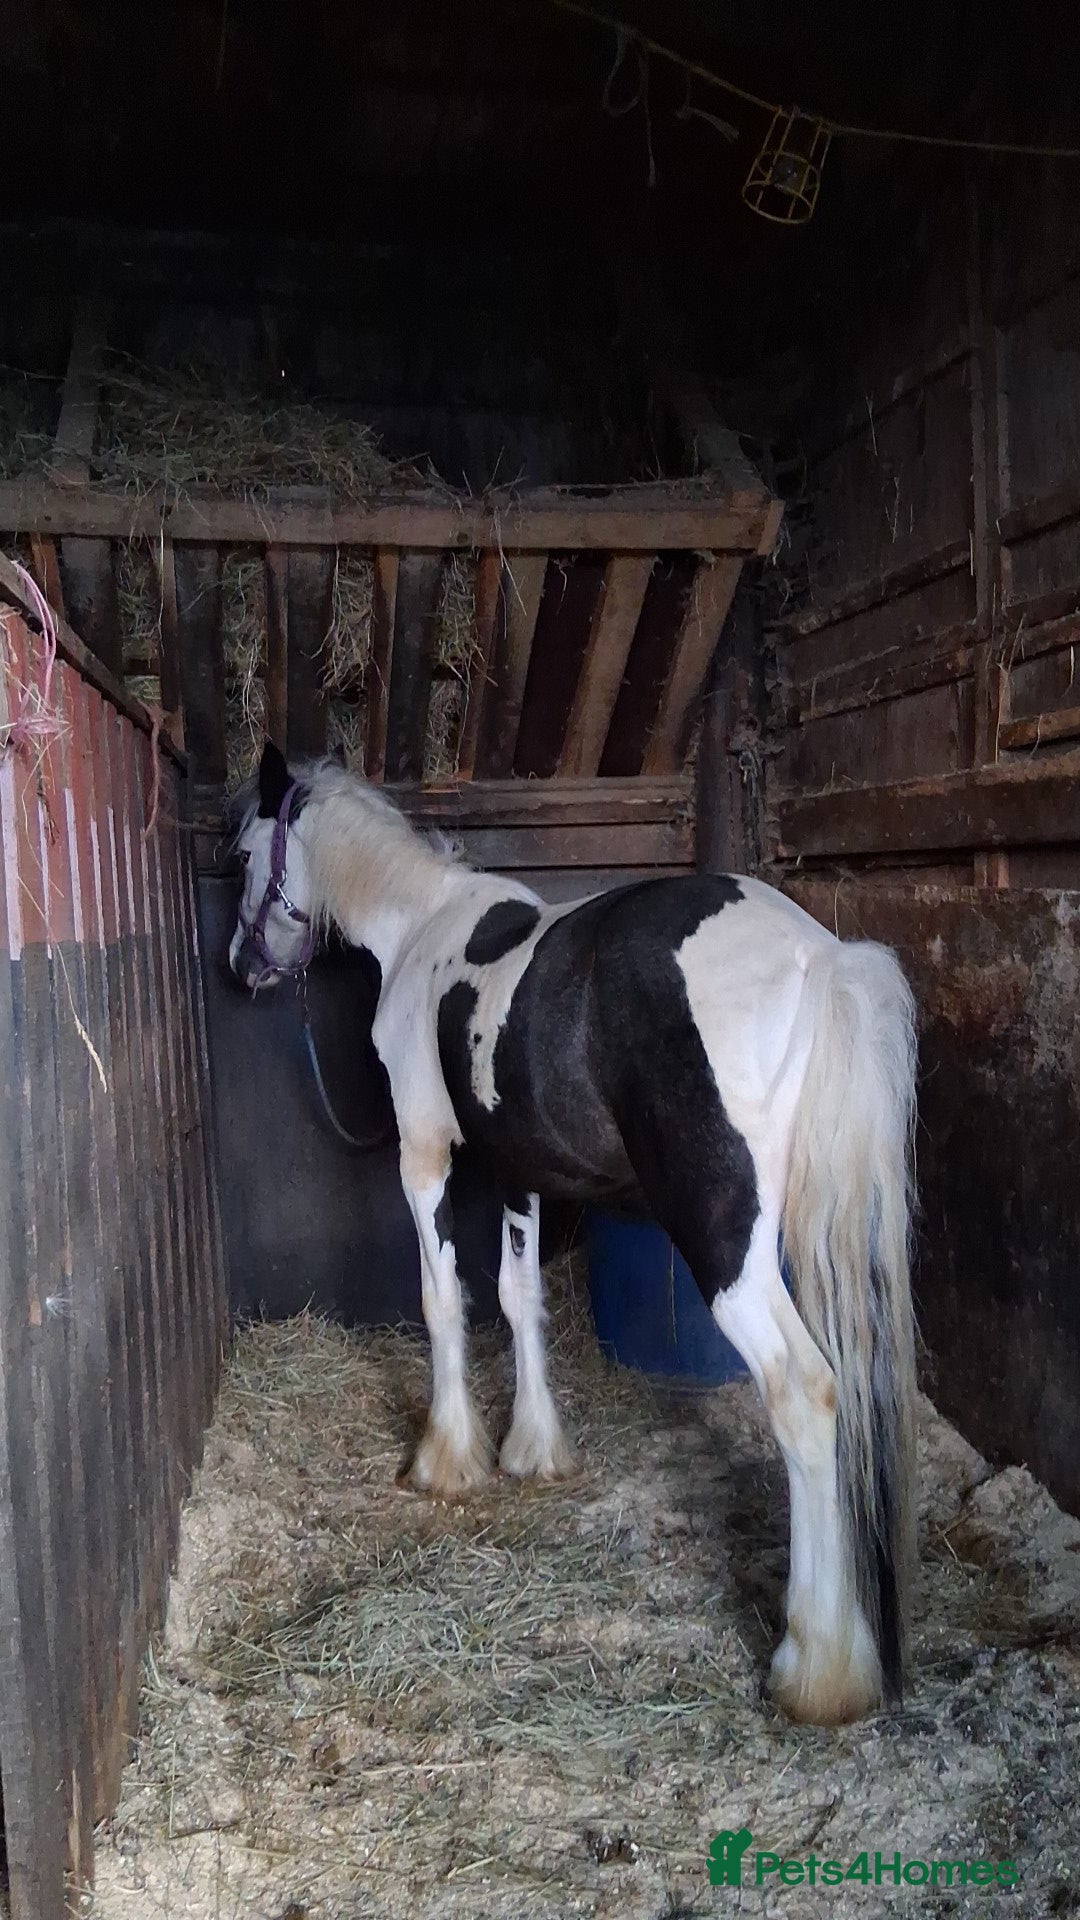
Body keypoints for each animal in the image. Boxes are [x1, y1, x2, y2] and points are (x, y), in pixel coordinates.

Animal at [229, 740, 919, 1727]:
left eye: (246, 857)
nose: (241, 966)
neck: (422, 926)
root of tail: (819, 956)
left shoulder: (426, 1155)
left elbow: (444, 1300)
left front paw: (447, 1459)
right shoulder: (521, 1172)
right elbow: (519, 1300)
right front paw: (533, 1449)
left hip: (729, 1250)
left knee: (805, 1391)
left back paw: (816, 1666)